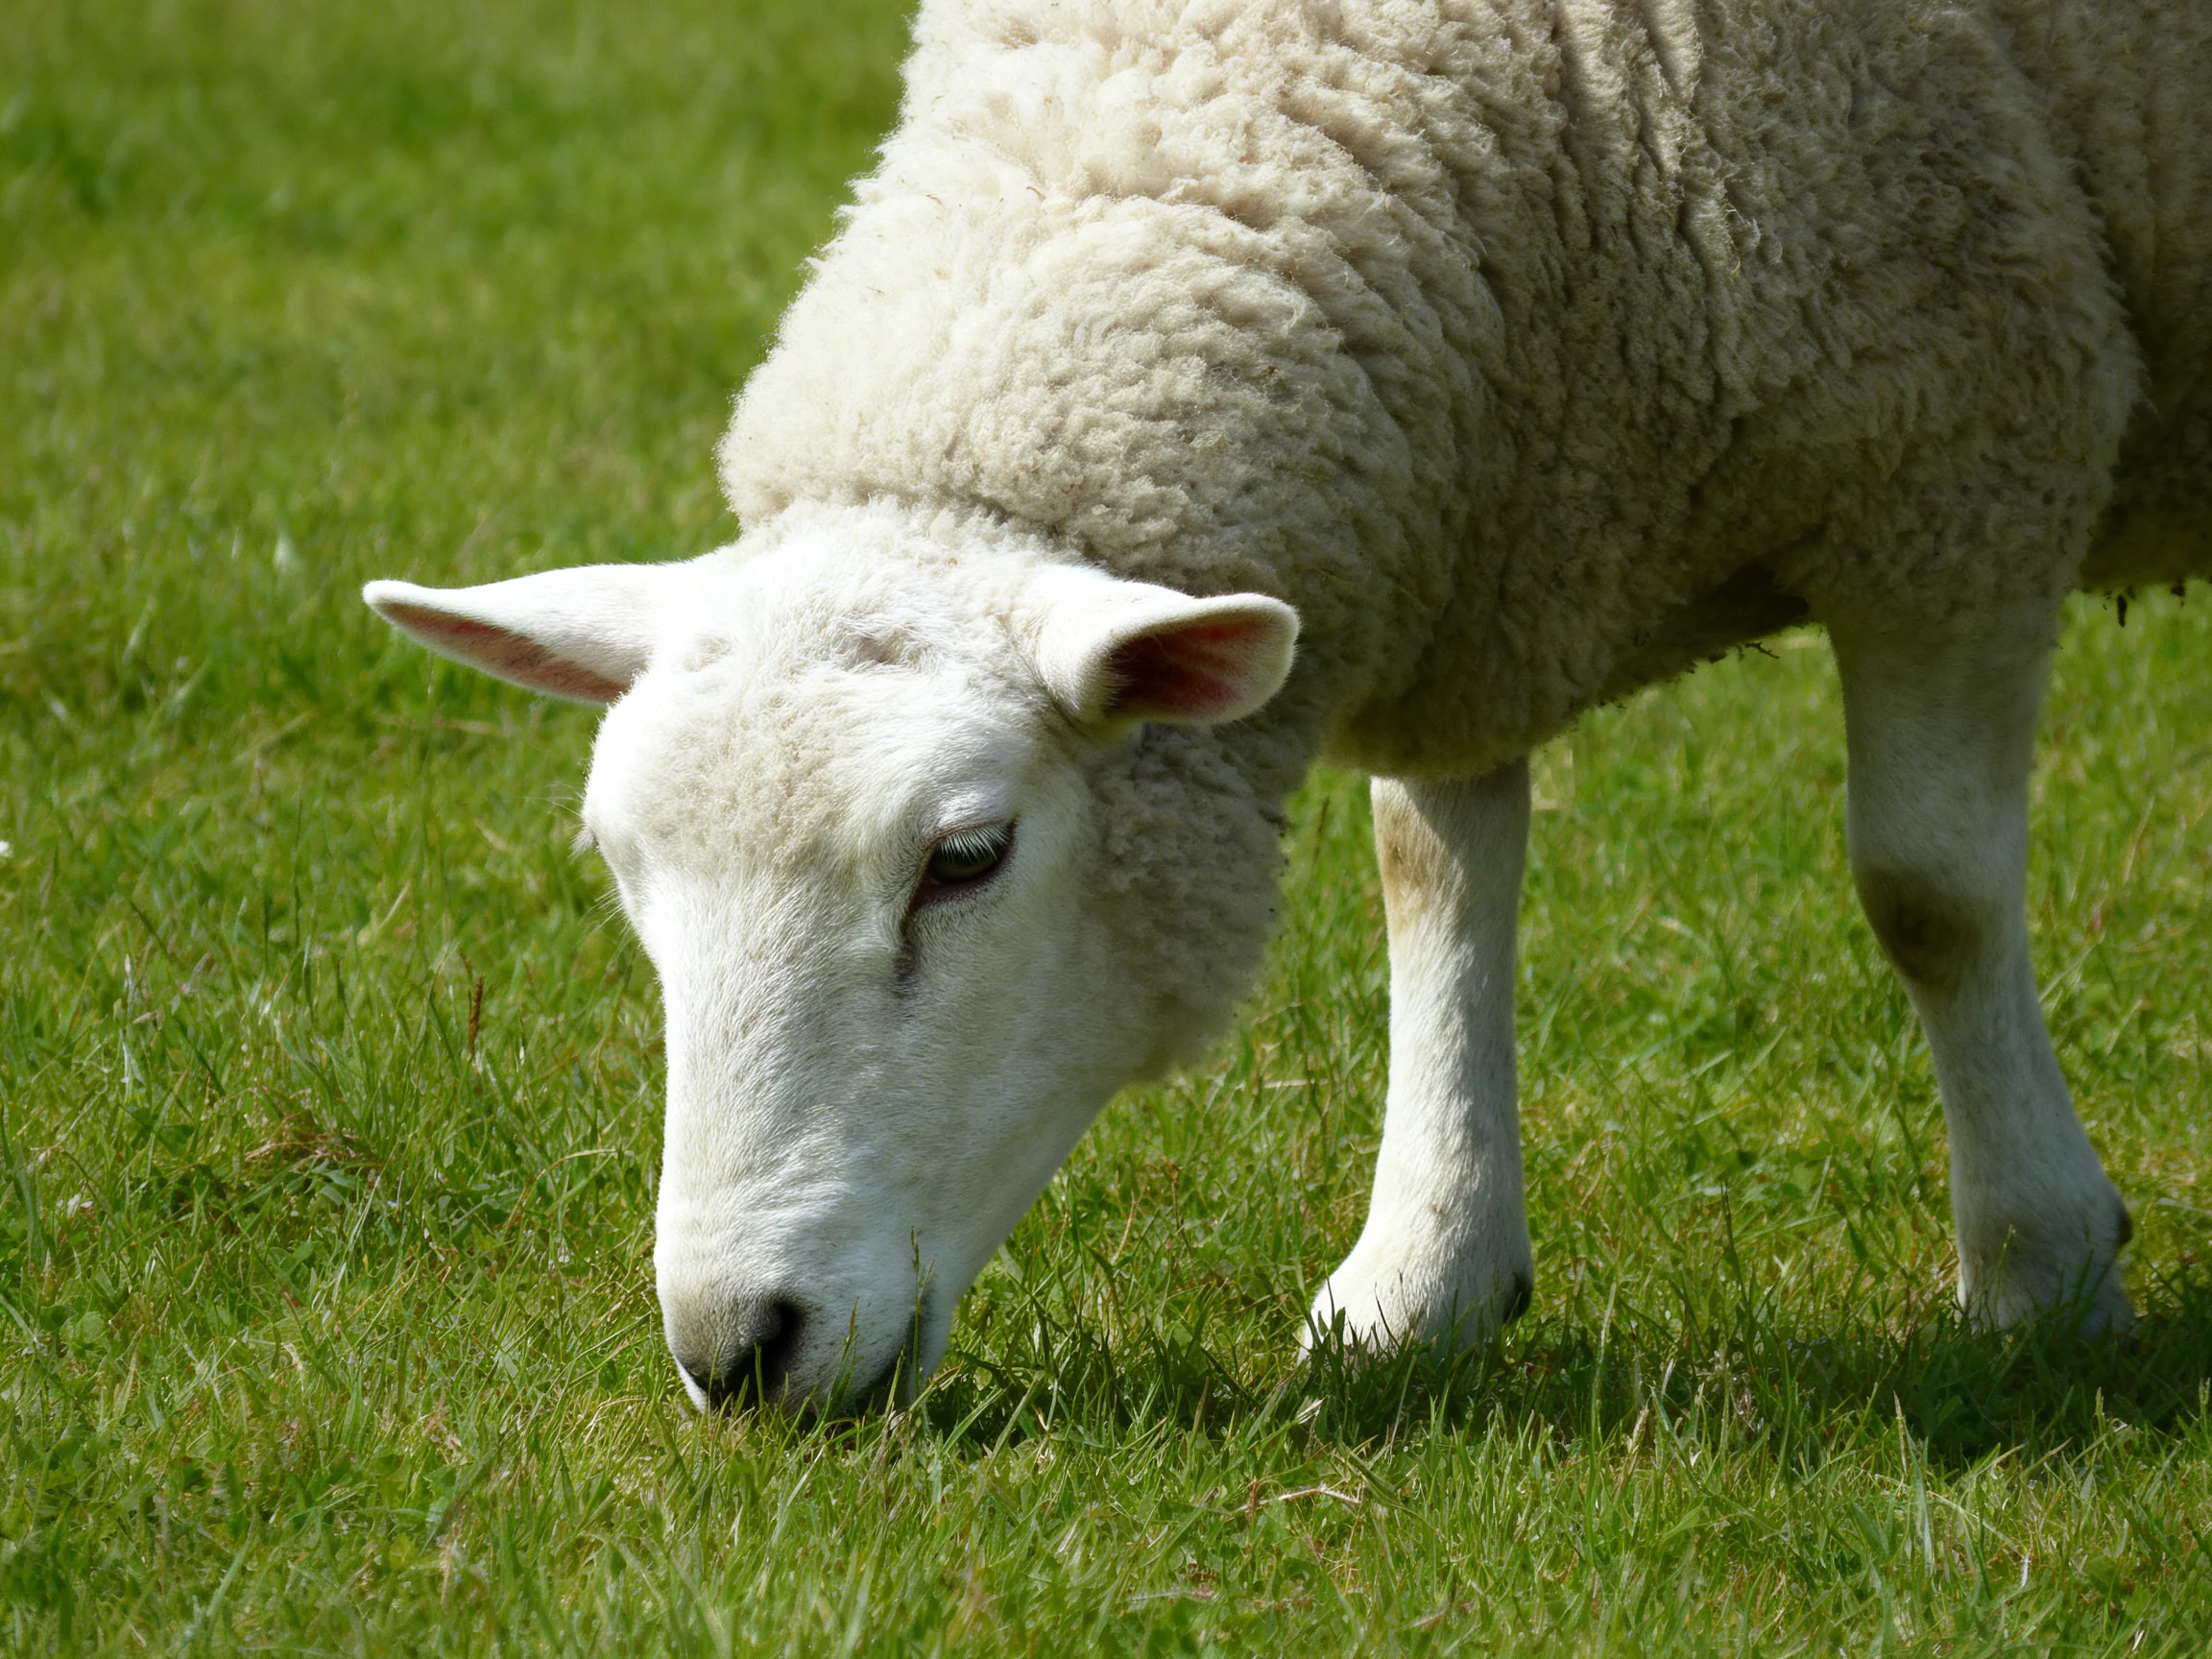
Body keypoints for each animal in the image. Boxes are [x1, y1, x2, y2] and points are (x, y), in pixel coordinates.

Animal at [365, 0, 2211, 1412]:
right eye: (625, 872)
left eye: (965, 858)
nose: (736, 1348)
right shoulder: (1480, 517)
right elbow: (1434, 874)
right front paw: (1424, 1272)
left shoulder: (1966, 458)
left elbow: (1928, 890)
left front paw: (2040, 1268)